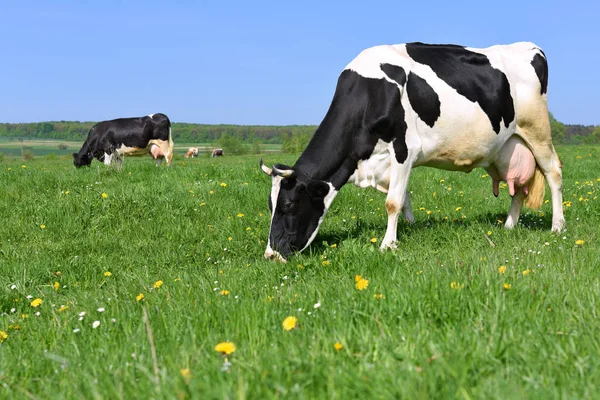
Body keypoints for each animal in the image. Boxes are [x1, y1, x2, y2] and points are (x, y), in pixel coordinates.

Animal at [260, 39, 564, 260]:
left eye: (288, 205)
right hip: (509, 147)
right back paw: (509, 225)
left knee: (553, 173)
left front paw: (387, 244)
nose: (271, 254)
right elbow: (404, 198)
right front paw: (410, 229)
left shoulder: (405, 148)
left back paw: (557, 226)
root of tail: (530, 47)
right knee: (520, 186)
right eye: (270, 205)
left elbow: (392, 201)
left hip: (537, 131)